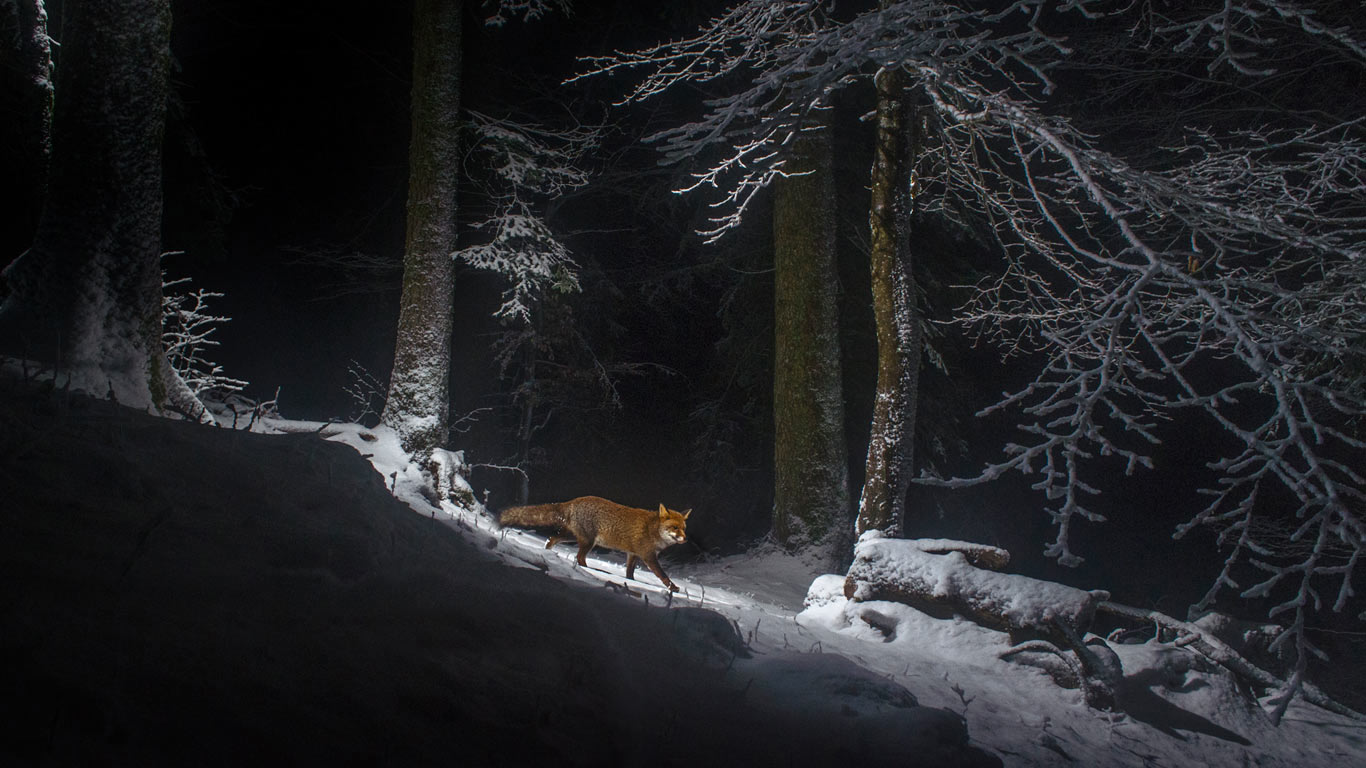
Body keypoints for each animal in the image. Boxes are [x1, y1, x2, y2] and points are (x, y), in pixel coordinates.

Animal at [498, 496, 691, 592]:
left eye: (684, 528)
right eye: (674, 528)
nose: (685, 539)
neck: (652, 530)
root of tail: (574, 501)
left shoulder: (632, 554)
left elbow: (629, 574)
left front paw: (630, 583)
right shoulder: (648, 556)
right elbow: (663, 576)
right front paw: (673, 588)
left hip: (572, 537)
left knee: (552, 539)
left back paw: (547, 553)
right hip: (588, 542)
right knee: (579, 557)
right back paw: (589, 571)